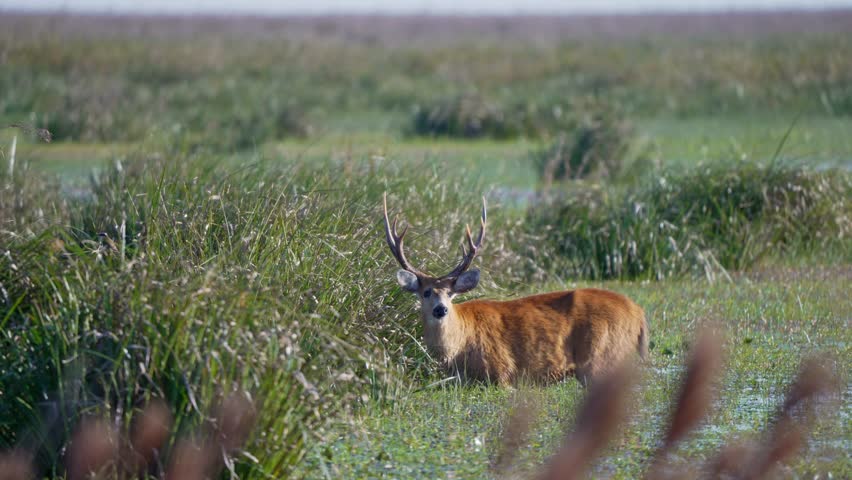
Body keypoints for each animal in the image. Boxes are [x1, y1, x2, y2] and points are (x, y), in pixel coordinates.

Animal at [382, 193, 649, 386]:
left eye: (450, 293)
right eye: (426, 292)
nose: (440, 310)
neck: (458, 348)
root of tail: (638, 313)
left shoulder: (501, 371)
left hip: (603, 355)